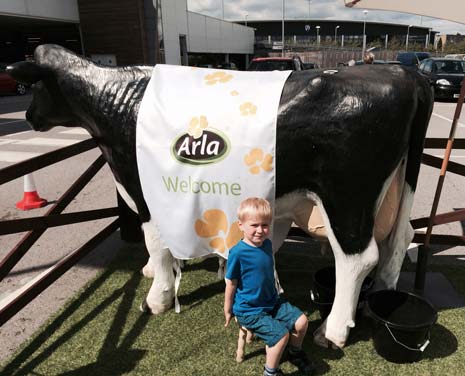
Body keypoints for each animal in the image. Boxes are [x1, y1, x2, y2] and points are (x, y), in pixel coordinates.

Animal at [8, 44, 432, 346]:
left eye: (37, 86)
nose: (28, 117)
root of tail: (402, 71)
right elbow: (163, 246)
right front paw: (159, 270)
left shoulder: (143, 192)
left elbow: (156, 244)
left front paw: (157, 298)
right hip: (396, 187)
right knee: (400, 239)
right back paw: (381, 299)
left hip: (347, 196)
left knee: (358, 257)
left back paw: (333, 331)